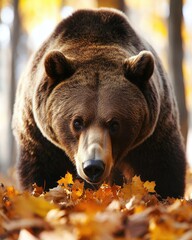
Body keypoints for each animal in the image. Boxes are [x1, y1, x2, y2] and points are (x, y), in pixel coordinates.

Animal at [12, 8, 186, 198]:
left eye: (115, 123)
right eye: (77, 122)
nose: (93, 166)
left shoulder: (155, 131)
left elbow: (160, 170)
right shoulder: (38, 135)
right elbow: (43, 172)